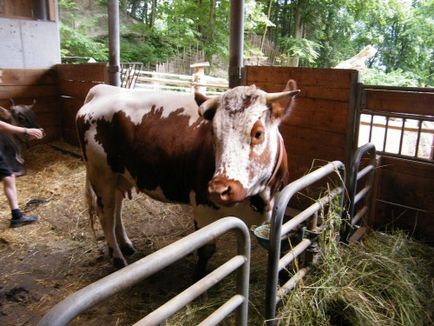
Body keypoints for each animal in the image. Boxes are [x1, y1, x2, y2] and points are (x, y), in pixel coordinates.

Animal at [76, 81, 300, 278]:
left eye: (258, 133)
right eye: (213, 134)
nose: (219, 189)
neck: (260, 198)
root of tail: (103, 89)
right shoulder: (203, 208)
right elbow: (206, 249)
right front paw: (198, 277)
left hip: (119, 176)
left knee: (117, 209)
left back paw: (126, 245)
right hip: (102, 176)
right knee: (106, 214)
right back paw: (117, 258)